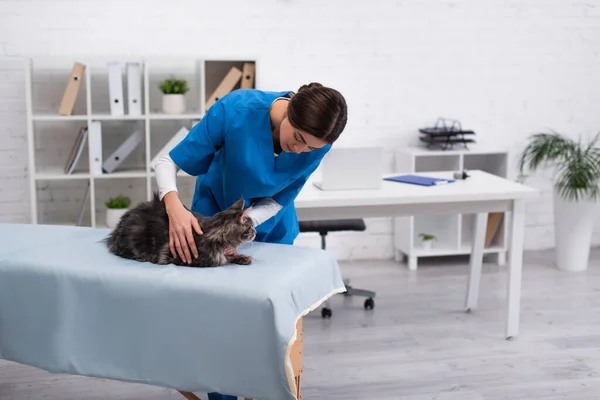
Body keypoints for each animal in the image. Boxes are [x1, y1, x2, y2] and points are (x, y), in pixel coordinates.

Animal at [105, 192, 255, 268]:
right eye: (250, 226)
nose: (255, 232)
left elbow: (232, 255)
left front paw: (243, 257)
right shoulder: (192, 258)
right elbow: (223, 259)